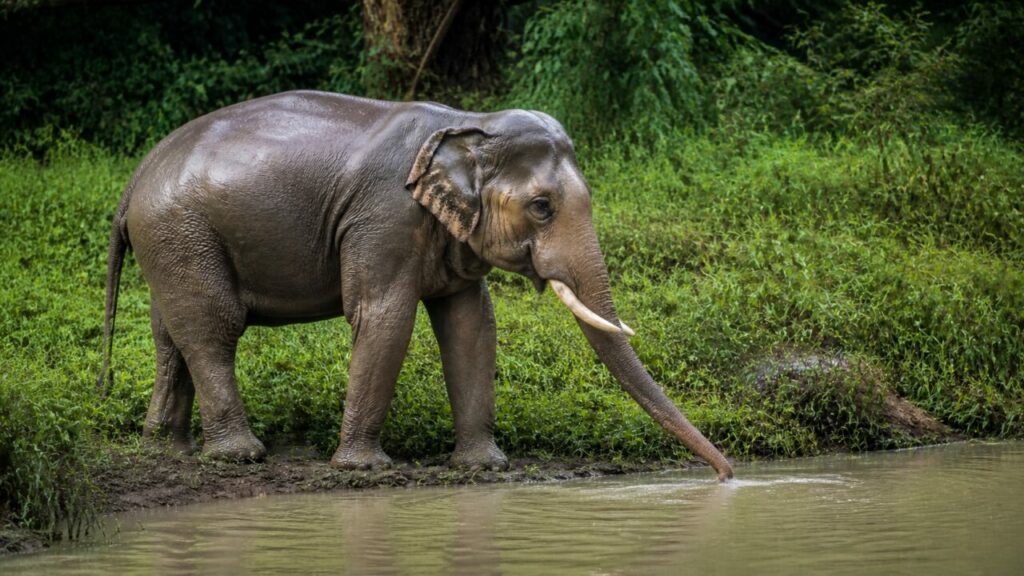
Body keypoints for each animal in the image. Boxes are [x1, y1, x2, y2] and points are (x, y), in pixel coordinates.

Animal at [97, 90, 734, 481]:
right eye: (542, 207)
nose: (727, 474)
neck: (469, 123)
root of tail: (132, 181)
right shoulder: (384, 218)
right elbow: (383, 314)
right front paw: (364, 469)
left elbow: (471, 323)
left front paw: (484, 468)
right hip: (182, 233)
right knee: (214, 328)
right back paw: (240, 457)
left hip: (171, 244)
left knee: (170, 335)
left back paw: (167, 448)